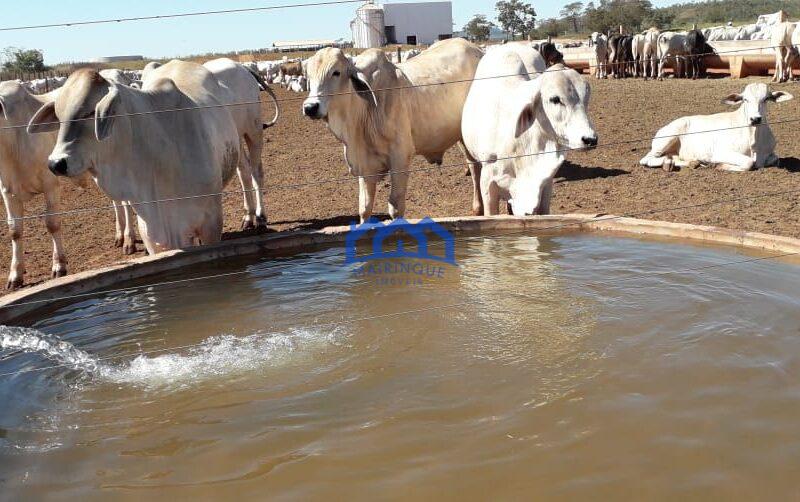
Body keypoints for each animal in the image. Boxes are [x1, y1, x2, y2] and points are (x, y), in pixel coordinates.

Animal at [304, 37, 484, 220]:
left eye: (336, 72)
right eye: (309, 76)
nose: (310, 107)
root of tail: (476, 48)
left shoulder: (400, 158)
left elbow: (395, 207)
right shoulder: (364, 166)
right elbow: (364, 207)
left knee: (475, 167)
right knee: (473, 166)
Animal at [460, 47, 596, 218]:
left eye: (586, 99)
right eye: (555, 99)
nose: (590, 139)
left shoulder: (546, 181)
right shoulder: (488, 181)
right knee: (473, 170)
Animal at [640, 84, 792, 173]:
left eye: (766, 99)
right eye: (745, 99)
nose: (755, 119)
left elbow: (776, 159)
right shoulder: (719, 153)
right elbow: (748, 163)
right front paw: (719, 165)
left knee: (674, 157)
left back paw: (691, 163)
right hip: (666, 139)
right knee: (646, 159)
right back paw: (668, 164)